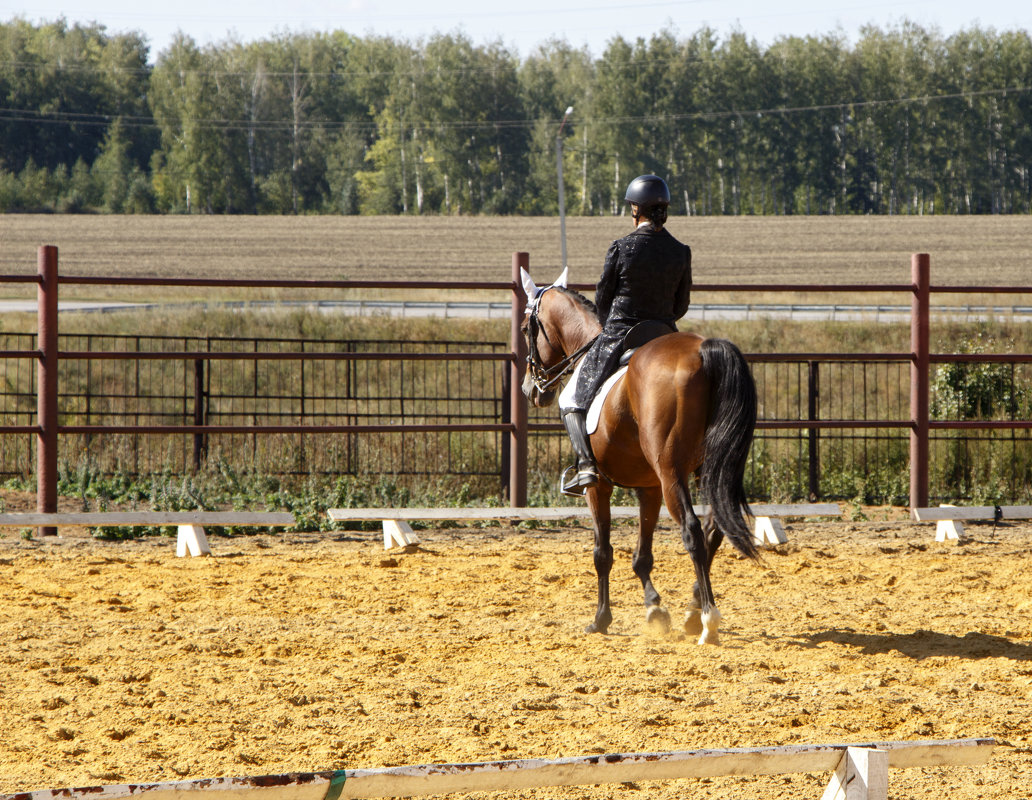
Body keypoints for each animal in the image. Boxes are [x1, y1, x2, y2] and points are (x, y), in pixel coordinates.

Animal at [524, 268, 759, 644]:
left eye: (524, 328)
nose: (531, 389)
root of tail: (704, 350)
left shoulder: (598, 487)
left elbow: (602, 553)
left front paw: (601, 619)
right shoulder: (648, 488)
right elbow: (642, 556)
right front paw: (655, 609)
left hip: (672, 474)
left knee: (693, 531)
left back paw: (708, 621)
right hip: (707, 471)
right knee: (715, 530)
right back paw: (693, 612)